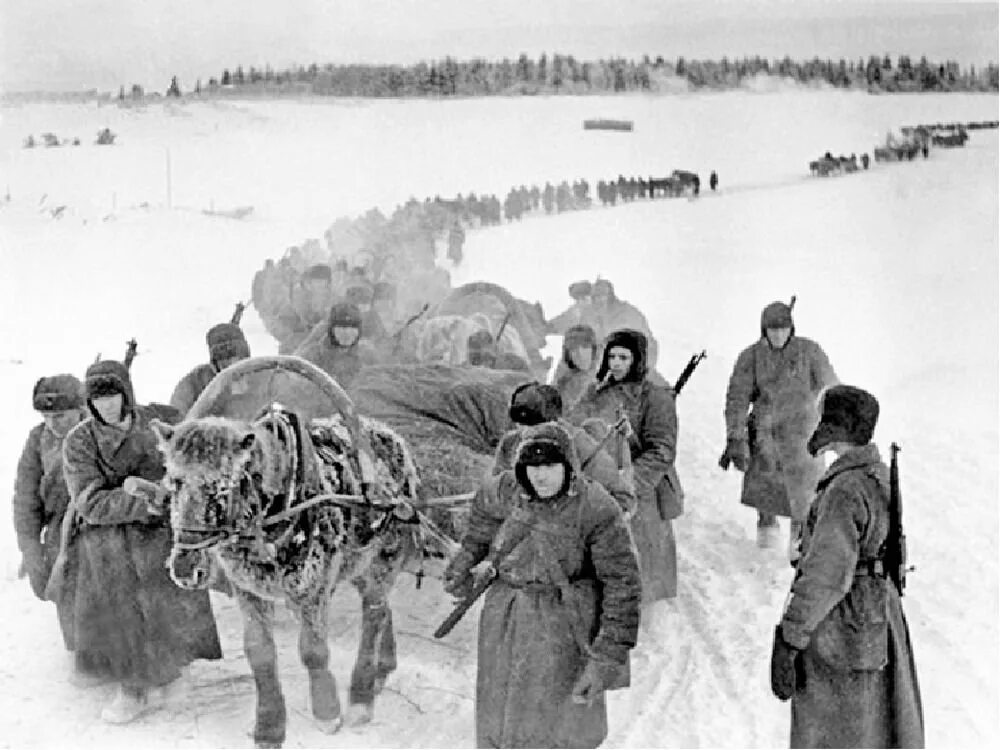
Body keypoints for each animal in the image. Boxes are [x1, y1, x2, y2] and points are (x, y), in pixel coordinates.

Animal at [151, 408, 426, 748]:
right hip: (358, 562)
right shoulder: (248, 591)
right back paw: (383, 668)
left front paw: (327, 712)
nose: (185, 567)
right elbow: (259, 652)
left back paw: (361, 696)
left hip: (384, 557)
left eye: (222, 486)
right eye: (174, 482)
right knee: (383, 607)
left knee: (373, 614)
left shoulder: (313, 588)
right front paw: (269, 726)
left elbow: (313, 650)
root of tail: (392, 434)